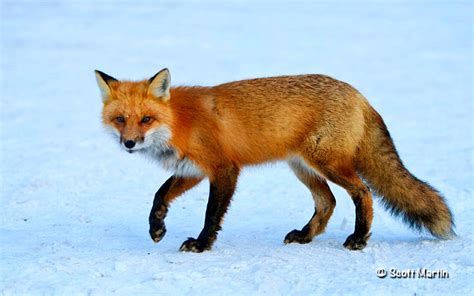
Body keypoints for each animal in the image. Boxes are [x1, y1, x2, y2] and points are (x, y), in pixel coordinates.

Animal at [94, 69, 454, 252]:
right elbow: (160, 195)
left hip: (327, 164)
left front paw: (202, 243)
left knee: (362, 193)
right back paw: (305, 236)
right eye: (120, 120)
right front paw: (157, 227)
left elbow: (212, 214)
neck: (179, 121)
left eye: (146, 120)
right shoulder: (193, 169)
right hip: (302, 168)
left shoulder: (224, 169)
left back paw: (359, 239)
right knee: (328, 202)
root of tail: (358, 94)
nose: (129, 143)